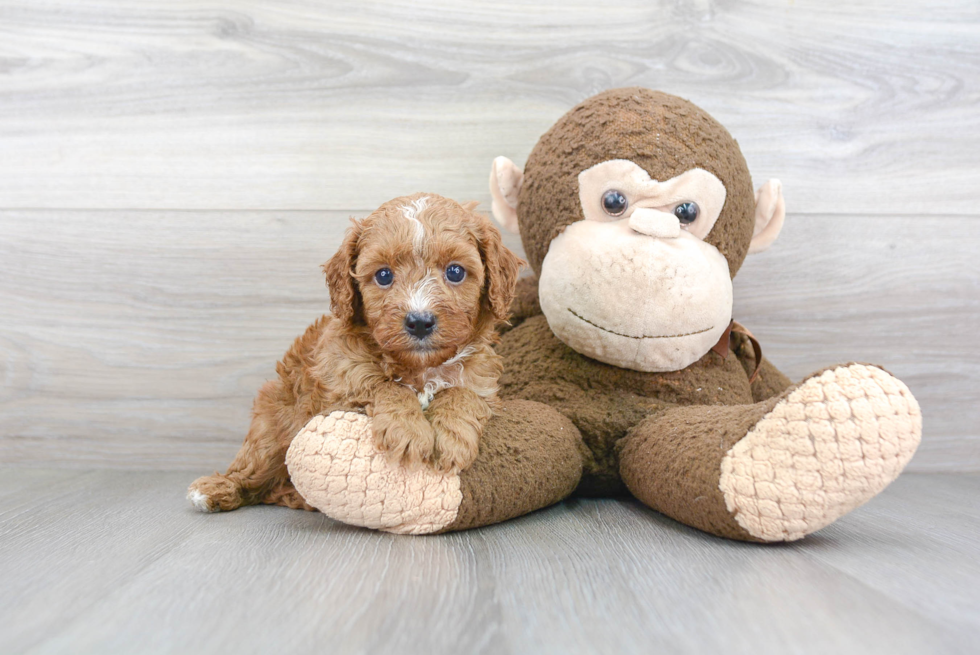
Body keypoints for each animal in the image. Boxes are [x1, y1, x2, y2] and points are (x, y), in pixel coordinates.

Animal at [191, 192, 528, 516]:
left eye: (455, 272)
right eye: (383, 275)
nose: (420, 321)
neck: (420, 367)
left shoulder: (482, 384)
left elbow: (461, 393)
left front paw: (451, 436)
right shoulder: (339, 388)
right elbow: (384, 386)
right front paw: (408, 430)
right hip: (272, 428)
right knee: (251, 471)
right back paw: (214, 490)